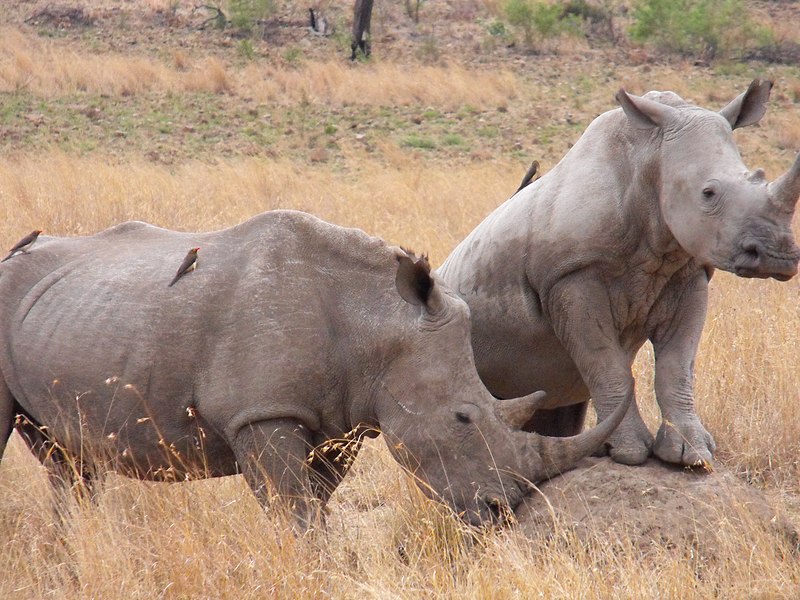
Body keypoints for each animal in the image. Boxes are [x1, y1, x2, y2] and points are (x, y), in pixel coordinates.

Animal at [0, 211, 632, 528]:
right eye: (462, 419)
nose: (501, 512)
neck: (375, 320)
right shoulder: (263, 414)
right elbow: (294, 511)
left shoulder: (339, 417)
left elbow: (316, 505)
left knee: (64, 459)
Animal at [438, 78, 800, 468]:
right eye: (708, 192)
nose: (777, 256)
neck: (650, 156)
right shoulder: (573, 276)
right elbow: (606, 364)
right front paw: (629, 454)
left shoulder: (690, 273)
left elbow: (677, 367)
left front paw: (691, 455)